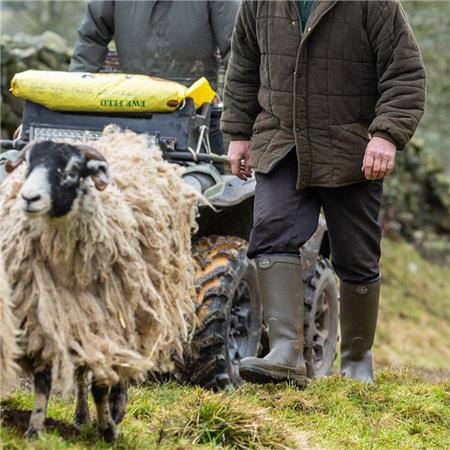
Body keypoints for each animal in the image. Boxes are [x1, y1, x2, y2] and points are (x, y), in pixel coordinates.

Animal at [0, 126, 198, 440]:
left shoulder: (110, 324)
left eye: (72, 171)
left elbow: (102, 385)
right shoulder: (43, 316)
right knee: (83, 374)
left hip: (135, 315)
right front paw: (35, 429)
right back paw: (81, 416)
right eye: (28, 165)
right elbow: (44, 380)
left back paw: (116, 409)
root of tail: (126, 137)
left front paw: (108, 429)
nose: (29, 198)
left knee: (122, 368)